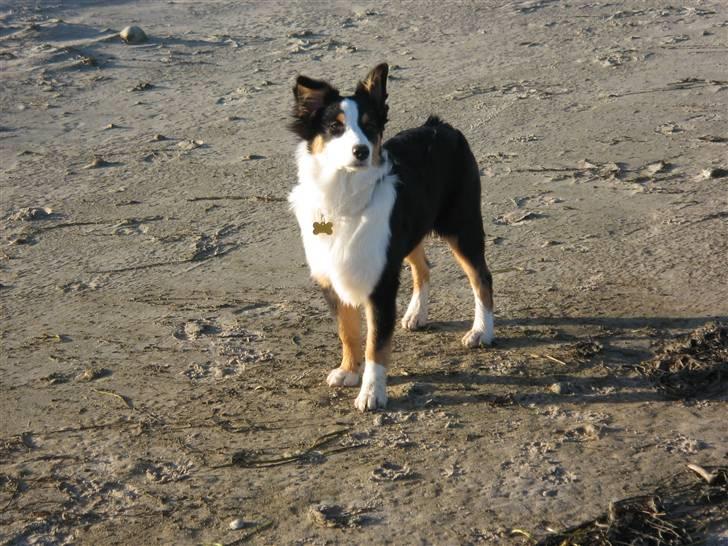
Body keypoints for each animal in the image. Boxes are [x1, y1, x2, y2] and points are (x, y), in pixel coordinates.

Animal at [290, 63, 494, 410]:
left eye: (369, 126)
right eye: (335, 127)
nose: (361, 151)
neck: (344, 198)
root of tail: (441, 126)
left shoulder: (381, 283)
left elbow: (376, 343)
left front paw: (372, 392)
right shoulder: (332, 277)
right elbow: (347, 331)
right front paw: (348, 371)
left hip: (461, 226)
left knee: (481, 277)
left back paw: (482, 331)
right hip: (409, 233)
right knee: (423, 267)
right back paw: (416, 314)